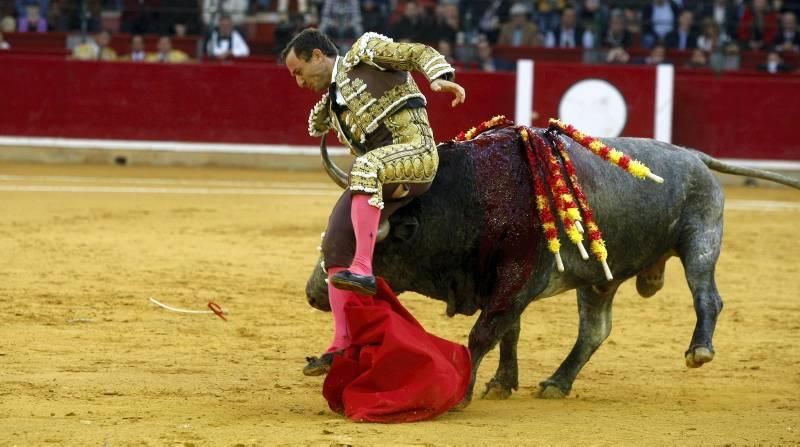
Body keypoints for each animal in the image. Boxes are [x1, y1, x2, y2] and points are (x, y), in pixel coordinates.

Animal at [304, 125, 796, 402]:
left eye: (365, 244)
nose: (314, 292)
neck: (473, 197)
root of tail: (694, 155)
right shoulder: (502, 287)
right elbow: (509, 332)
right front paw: (502, 383)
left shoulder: (514, 281)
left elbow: (485, 332)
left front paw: (462, 391)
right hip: (599, 280)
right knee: (595, 330)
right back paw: (558, 382)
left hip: (701, 241)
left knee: (708, 296)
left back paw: (700, 350)